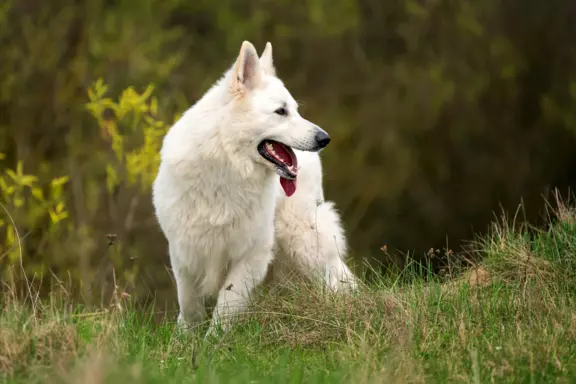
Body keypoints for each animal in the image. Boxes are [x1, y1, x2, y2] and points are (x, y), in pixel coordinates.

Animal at [153, 40, 360, 338]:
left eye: (295, 109)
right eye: (281, 111)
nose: (325, 138)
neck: (226, 166)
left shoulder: (253, 253)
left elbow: (227, 305)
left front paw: (212, 343)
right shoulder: (185, 252)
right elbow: (190, 305)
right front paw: (184, 341)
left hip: (303, 241)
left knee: (339, 278)